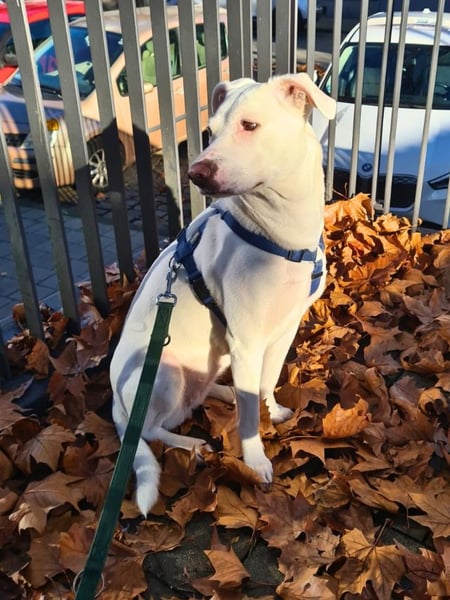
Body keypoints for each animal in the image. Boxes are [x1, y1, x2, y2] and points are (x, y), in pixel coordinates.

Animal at [110, 73, 336, 515]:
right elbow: (248, 421)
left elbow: (265, 384)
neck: (282, 233)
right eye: (211, 131)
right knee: (152, 428)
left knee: (199, 396)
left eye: (249, 125)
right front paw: (256, 462)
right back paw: (190, 443)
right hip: (163, 373)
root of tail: (115, 402)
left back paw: (223, 391)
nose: (196, 173)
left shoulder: (284, 329)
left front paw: (272, 411)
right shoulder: (247, 339)